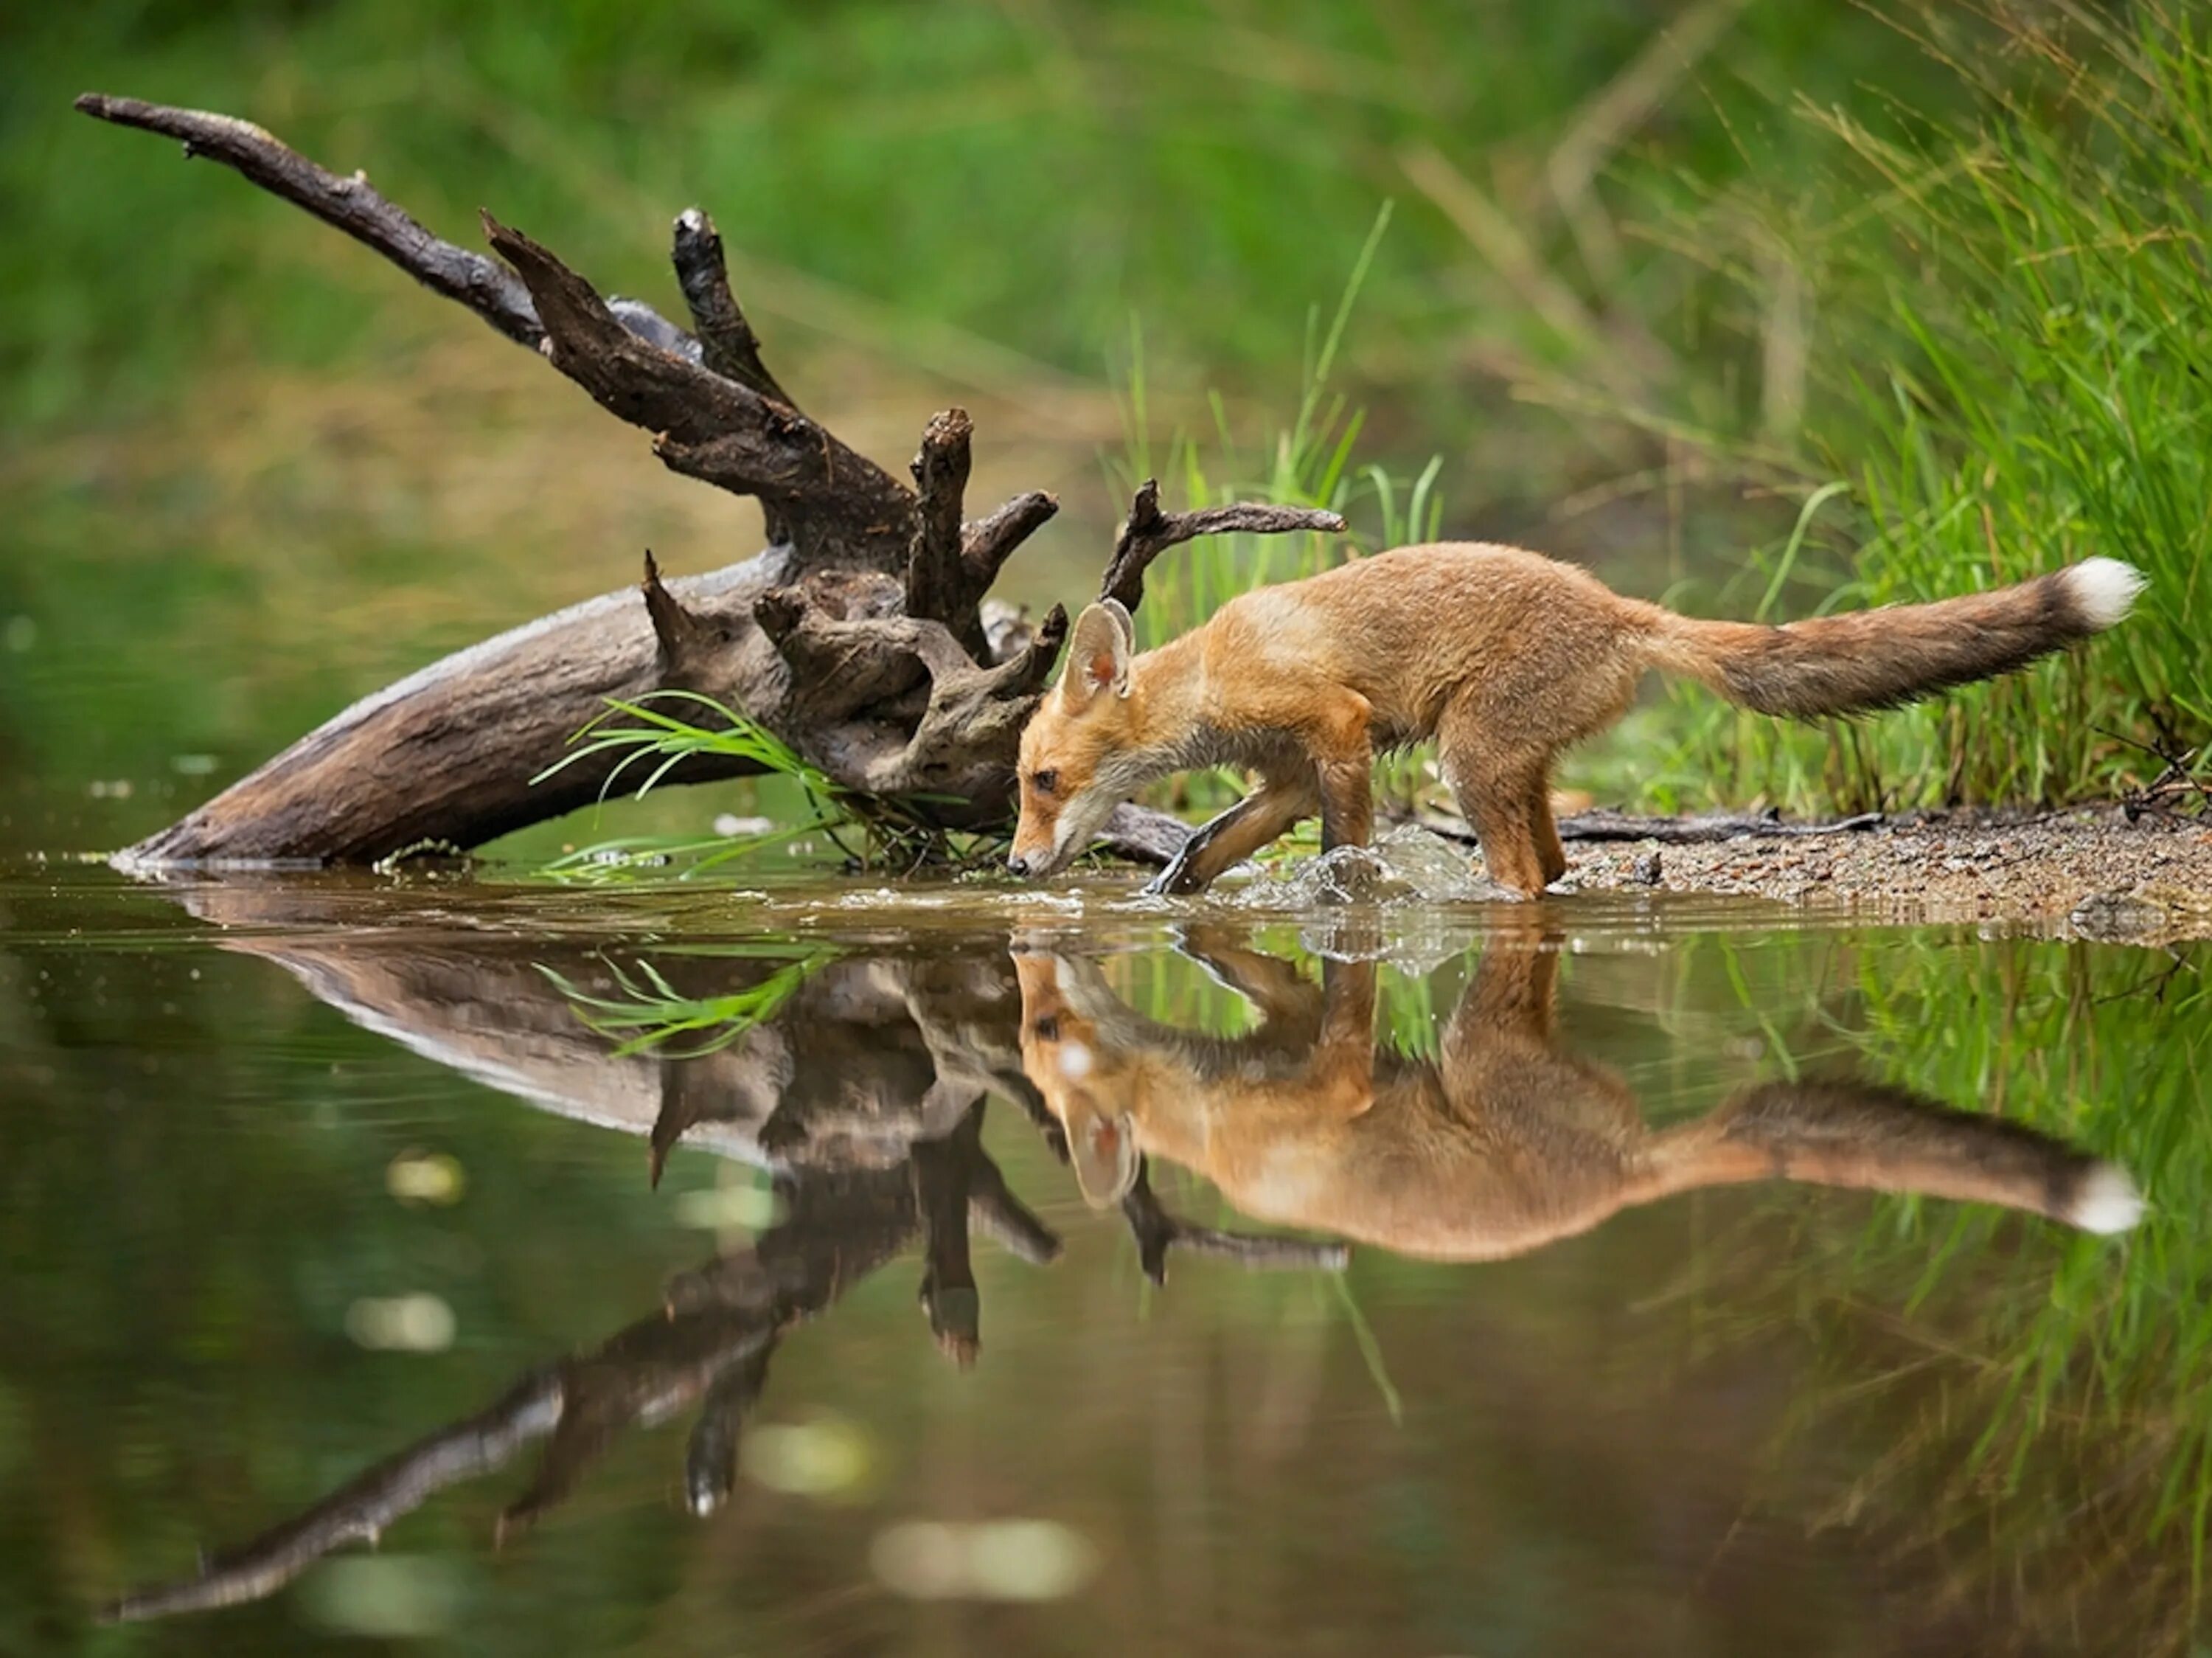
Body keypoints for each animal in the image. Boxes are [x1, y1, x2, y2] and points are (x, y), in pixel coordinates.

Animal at [1009, 542, 2141, 894]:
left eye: (1041, 781)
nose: (1016, 867)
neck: (1211, 675)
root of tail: (1622, 610)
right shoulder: (1286, 773)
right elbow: (1208, 844)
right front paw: (1166, 892)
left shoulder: (1335, 726)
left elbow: (1344, 848)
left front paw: (1349, 901)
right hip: (1517, 763)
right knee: (1553, 865)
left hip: (1470, 756)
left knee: (1521, 874)